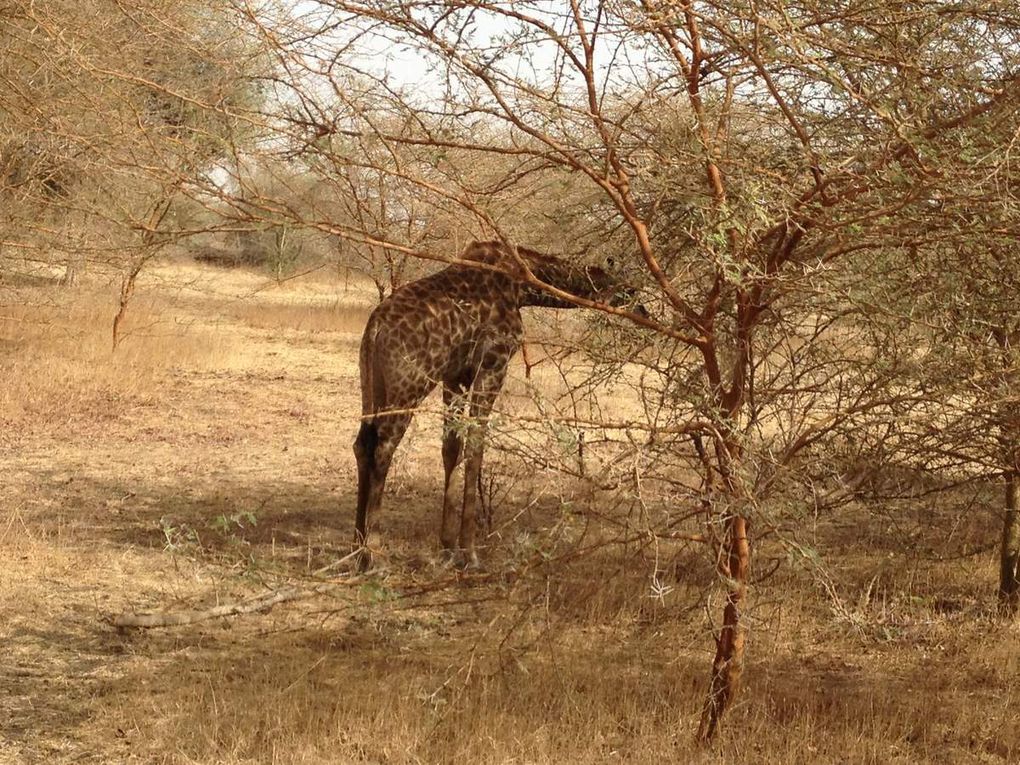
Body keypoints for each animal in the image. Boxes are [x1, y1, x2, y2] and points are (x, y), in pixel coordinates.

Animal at [352, 239, 636, 571]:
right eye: (629, 291)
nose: (642, 311)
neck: (522, 288)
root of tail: (375, 328)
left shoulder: (455, 375)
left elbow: (452, 448)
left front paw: (447, 547)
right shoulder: (492, 364)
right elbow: (476, 447)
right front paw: (470, 553)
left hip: (371, 383)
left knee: (362, 444)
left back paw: (356, 547)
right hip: (410, 385)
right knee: (384, 448)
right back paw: (373, 553)